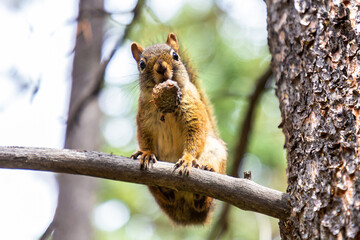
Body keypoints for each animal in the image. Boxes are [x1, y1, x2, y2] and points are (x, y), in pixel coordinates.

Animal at [129, 32, 226, 225]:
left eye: (175, 56)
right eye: (142, 64)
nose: (161, 67)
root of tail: (187, 215)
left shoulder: (193, 111)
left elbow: (196, 132)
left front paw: (187, 159)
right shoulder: (144, 118)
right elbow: (144, 138)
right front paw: (146, 153)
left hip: (216, 152)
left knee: (205, 201)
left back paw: (205, 178)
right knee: (167, 197)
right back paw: (162, 189)